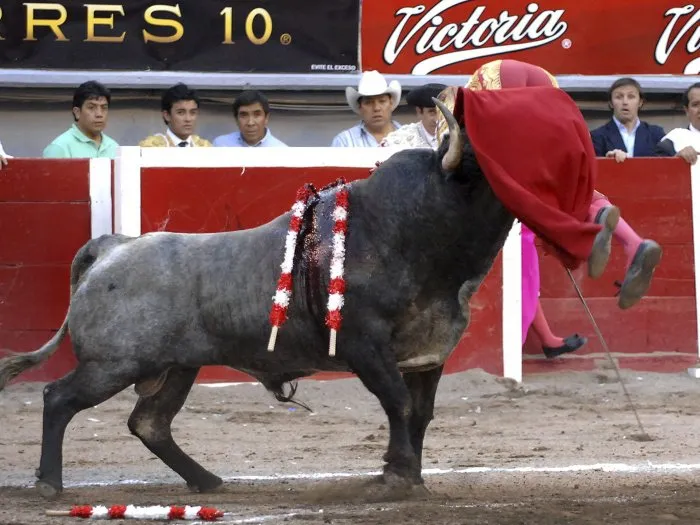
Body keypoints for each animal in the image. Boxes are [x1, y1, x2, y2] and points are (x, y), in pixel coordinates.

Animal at [0, 100, 516, 498]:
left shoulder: (429, 355)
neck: (414, 228)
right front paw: (397, 475)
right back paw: (49, 484)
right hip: (112, 365)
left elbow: (420, 413)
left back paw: (207, 480)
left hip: (176, 367)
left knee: (150, 423)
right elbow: (398, 403)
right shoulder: (365, 346)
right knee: (59, 398)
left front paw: (410, 476)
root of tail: (113, 247)